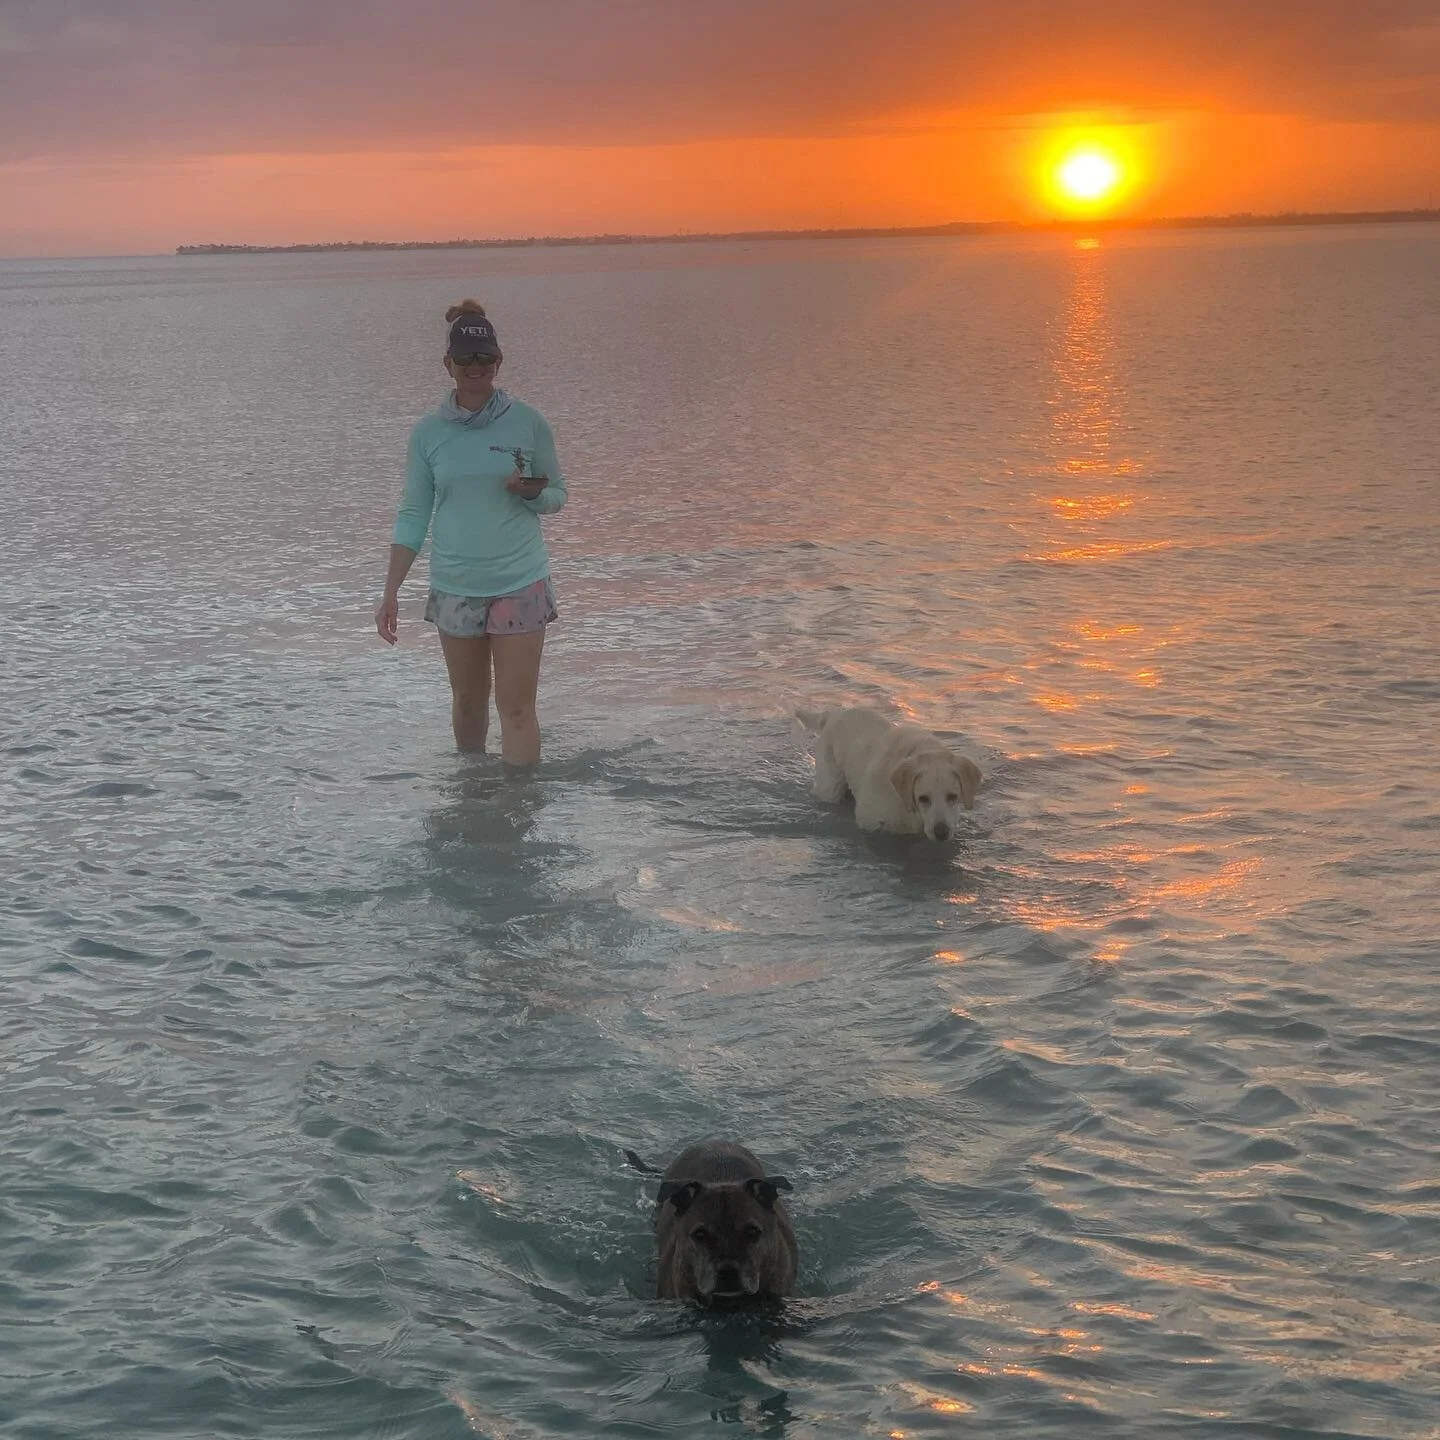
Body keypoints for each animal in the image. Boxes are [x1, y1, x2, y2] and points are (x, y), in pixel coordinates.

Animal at [797, 705, 982, 840]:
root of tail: (833, 714)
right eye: (923, 798)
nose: (941, 833)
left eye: (953, 796)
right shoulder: (870, 820)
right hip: (830, 785)